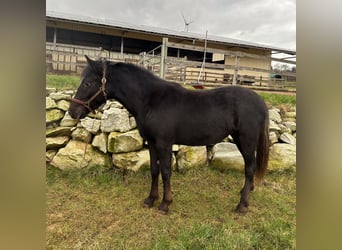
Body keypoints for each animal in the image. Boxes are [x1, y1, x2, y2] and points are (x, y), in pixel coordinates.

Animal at [67, 55, 270, 214]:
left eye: (87, 83)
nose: (72, 112)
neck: (151, 101)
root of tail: (260, 102)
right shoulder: (151, 142)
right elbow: (154, 170)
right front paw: (150, 199)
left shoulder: (164, 143)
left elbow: (165, 172)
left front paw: (165, 204)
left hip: (247, 141)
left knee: (249, 168)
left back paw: (242, 205)